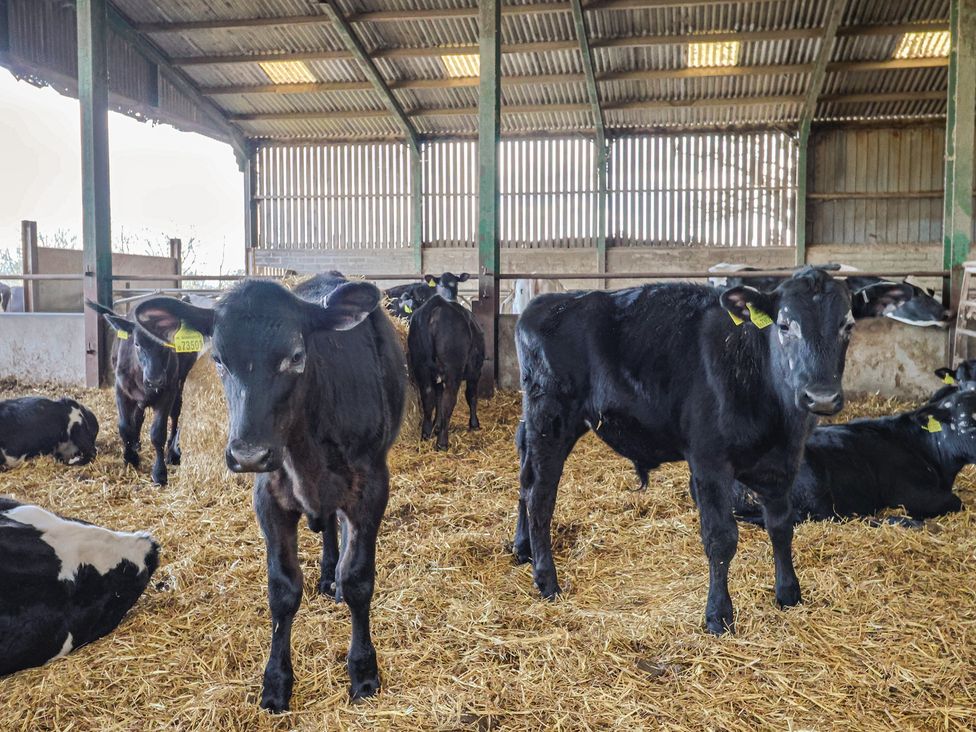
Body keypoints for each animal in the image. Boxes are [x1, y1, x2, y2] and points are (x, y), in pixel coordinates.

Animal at [85, 299, 199, 486]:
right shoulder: (121, 390)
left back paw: (172, 451)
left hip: (180, 382)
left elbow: (158, 433)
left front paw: (159, 472)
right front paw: (130, 457)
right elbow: (124, 426)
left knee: (175, 414)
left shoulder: (168, 393)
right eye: (137, 344)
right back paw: (136, 443)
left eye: (167, 343)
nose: (155, 380)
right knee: (138, 417)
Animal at [133, 272, 405, 712]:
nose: (249, 454)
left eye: (295, 355)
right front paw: (276, 682)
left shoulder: (372, 487)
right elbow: (283, 589)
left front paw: (364, 671)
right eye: (218, 358)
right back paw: (327, 574)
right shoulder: (269, 499)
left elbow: (359, 579)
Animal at [407, 293, 485, 450]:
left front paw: (436, 426)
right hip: (453, 371)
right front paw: (474, 424)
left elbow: (438, 399)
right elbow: (471, 396)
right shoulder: (475, 372)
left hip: (421, 367)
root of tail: (436, 305)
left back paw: (426, 434)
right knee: (448, 401)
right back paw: (442, 442)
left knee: (428, 398)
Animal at [514, 266, 913, 634]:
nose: (822, 397)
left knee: (524, 475)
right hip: (552, 417)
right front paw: (718, 615)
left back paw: (522, 549)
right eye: (785, 325)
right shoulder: (709, 462)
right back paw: (546, 579)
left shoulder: (785, 461)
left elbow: (781, 526)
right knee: (540, 494)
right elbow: (721, 538)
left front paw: (788, 593)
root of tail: (545, 303)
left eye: (848, 325)